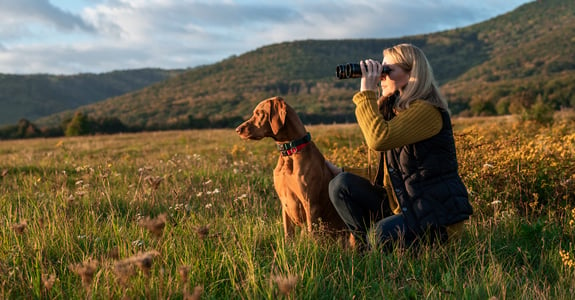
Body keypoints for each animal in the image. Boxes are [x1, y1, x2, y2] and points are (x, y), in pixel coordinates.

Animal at [235, 97, 344, 240]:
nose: (237, 130)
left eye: (259, 113)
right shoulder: (284, 204)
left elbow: (312, 236)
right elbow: (288, 235)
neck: (289, 152)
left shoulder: (310, 204)